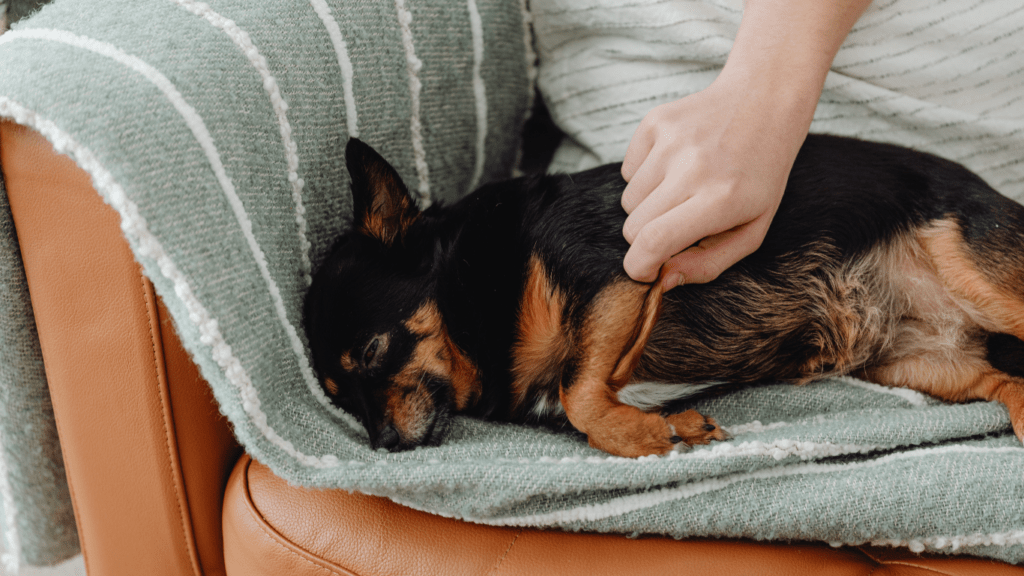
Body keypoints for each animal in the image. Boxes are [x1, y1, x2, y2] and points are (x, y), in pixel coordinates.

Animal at [303, 134, 1024, 457]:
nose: (382, 447)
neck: (473, 287)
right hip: (921, 364)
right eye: (339, 398)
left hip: (973, 269)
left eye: (374, 350)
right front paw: (665, 425)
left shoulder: (622, 271)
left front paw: (642, 433)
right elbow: (577, 394)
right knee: (1007, 383)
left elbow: (578, 388)